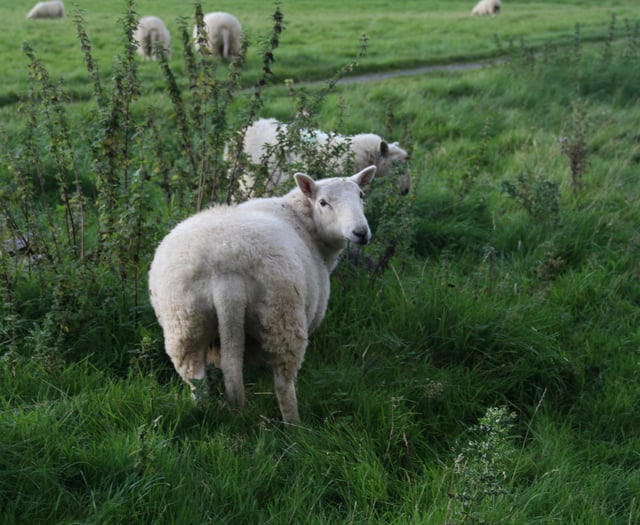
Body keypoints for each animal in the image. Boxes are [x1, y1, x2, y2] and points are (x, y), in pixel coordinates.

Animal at [148, 166, 377, 424]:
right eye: (323, 202)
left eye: (361, 195)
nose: (361, 232)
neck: (304, 222)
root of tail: (225, 267)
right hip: (282, 316)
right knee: (284, 384)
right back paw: (295, 426)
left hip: (184, 321)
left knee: (197, 381)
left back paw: (202, 412)